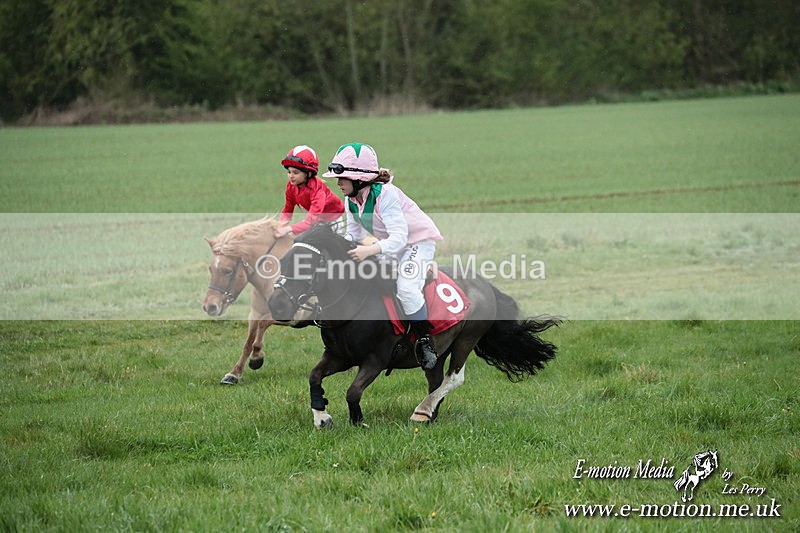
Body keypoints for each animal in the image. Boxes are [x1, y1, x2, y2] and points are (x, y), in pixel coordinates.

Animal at [202, 216, 312, 384]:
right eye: (210, 269)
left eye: (227, 271)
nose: (209, 306)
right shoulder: (255, 313)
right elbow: (248, 341)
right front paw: (234, 374)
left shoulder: (292, 316)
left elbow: (262, 324)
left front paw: (256, 358)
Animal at [267, 223, 560, 428]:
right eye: (283, 262)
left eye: (307, 266)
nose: (276, 305)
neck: (354, 304)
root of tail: (486, 285)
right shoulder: (339, 355)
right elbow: (314, 376)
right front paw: (322, 417)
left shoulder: (375, 360)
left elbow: (352, 392)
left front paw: (358, 421)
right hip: (438, 352)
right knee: (436, 380)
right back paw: (431, 412)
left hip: (467, 339)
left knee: (454, 378)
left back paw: (422, 411)